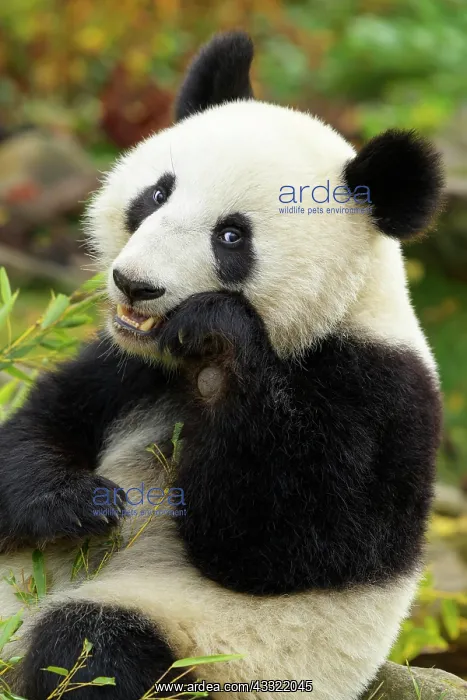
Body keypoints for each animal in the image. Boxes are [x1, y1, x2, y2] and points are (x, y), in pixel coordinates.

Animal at [0, 30, 444, 700]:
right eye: (158, 193)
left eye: (232, 237)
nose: (135, 285)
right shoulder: (124, 364)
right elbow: (44, 425)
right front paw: (79, 503)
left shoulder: (376, 393)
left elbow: (285, 542)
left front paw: (218, 334)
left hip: (212, 652)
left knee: (92, 648)